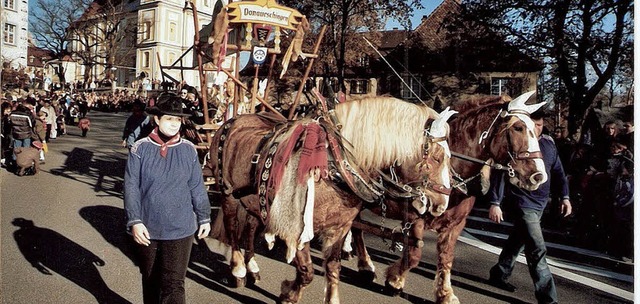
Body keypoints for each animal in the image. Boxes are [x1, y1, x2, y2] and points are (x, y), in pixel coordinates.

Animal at [204, 95, 456, 304]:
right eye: (437, 157)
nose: (442, 204)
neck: (334, 163)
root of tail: (234, 120)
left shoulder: (340, 226)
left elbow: (333, 267)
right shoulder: (298, 227)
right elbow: (306, 271)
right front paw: (288, 294)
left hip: (254, 201)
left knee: (249, 227)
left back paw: (252, 266)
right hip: (228, 194)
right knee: (232, 227)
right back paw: (238, 269)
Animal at [348, 91, 548, 304]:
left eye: (535, 128)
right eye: (518, 127)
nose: (539, 176)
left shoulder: (456, 224)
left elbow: (446, 257)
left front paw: (445, 293)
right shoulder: (414, 217)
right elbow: (415, 254)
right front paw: (395, 280)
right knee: (357, 228)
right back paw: (365, 265)